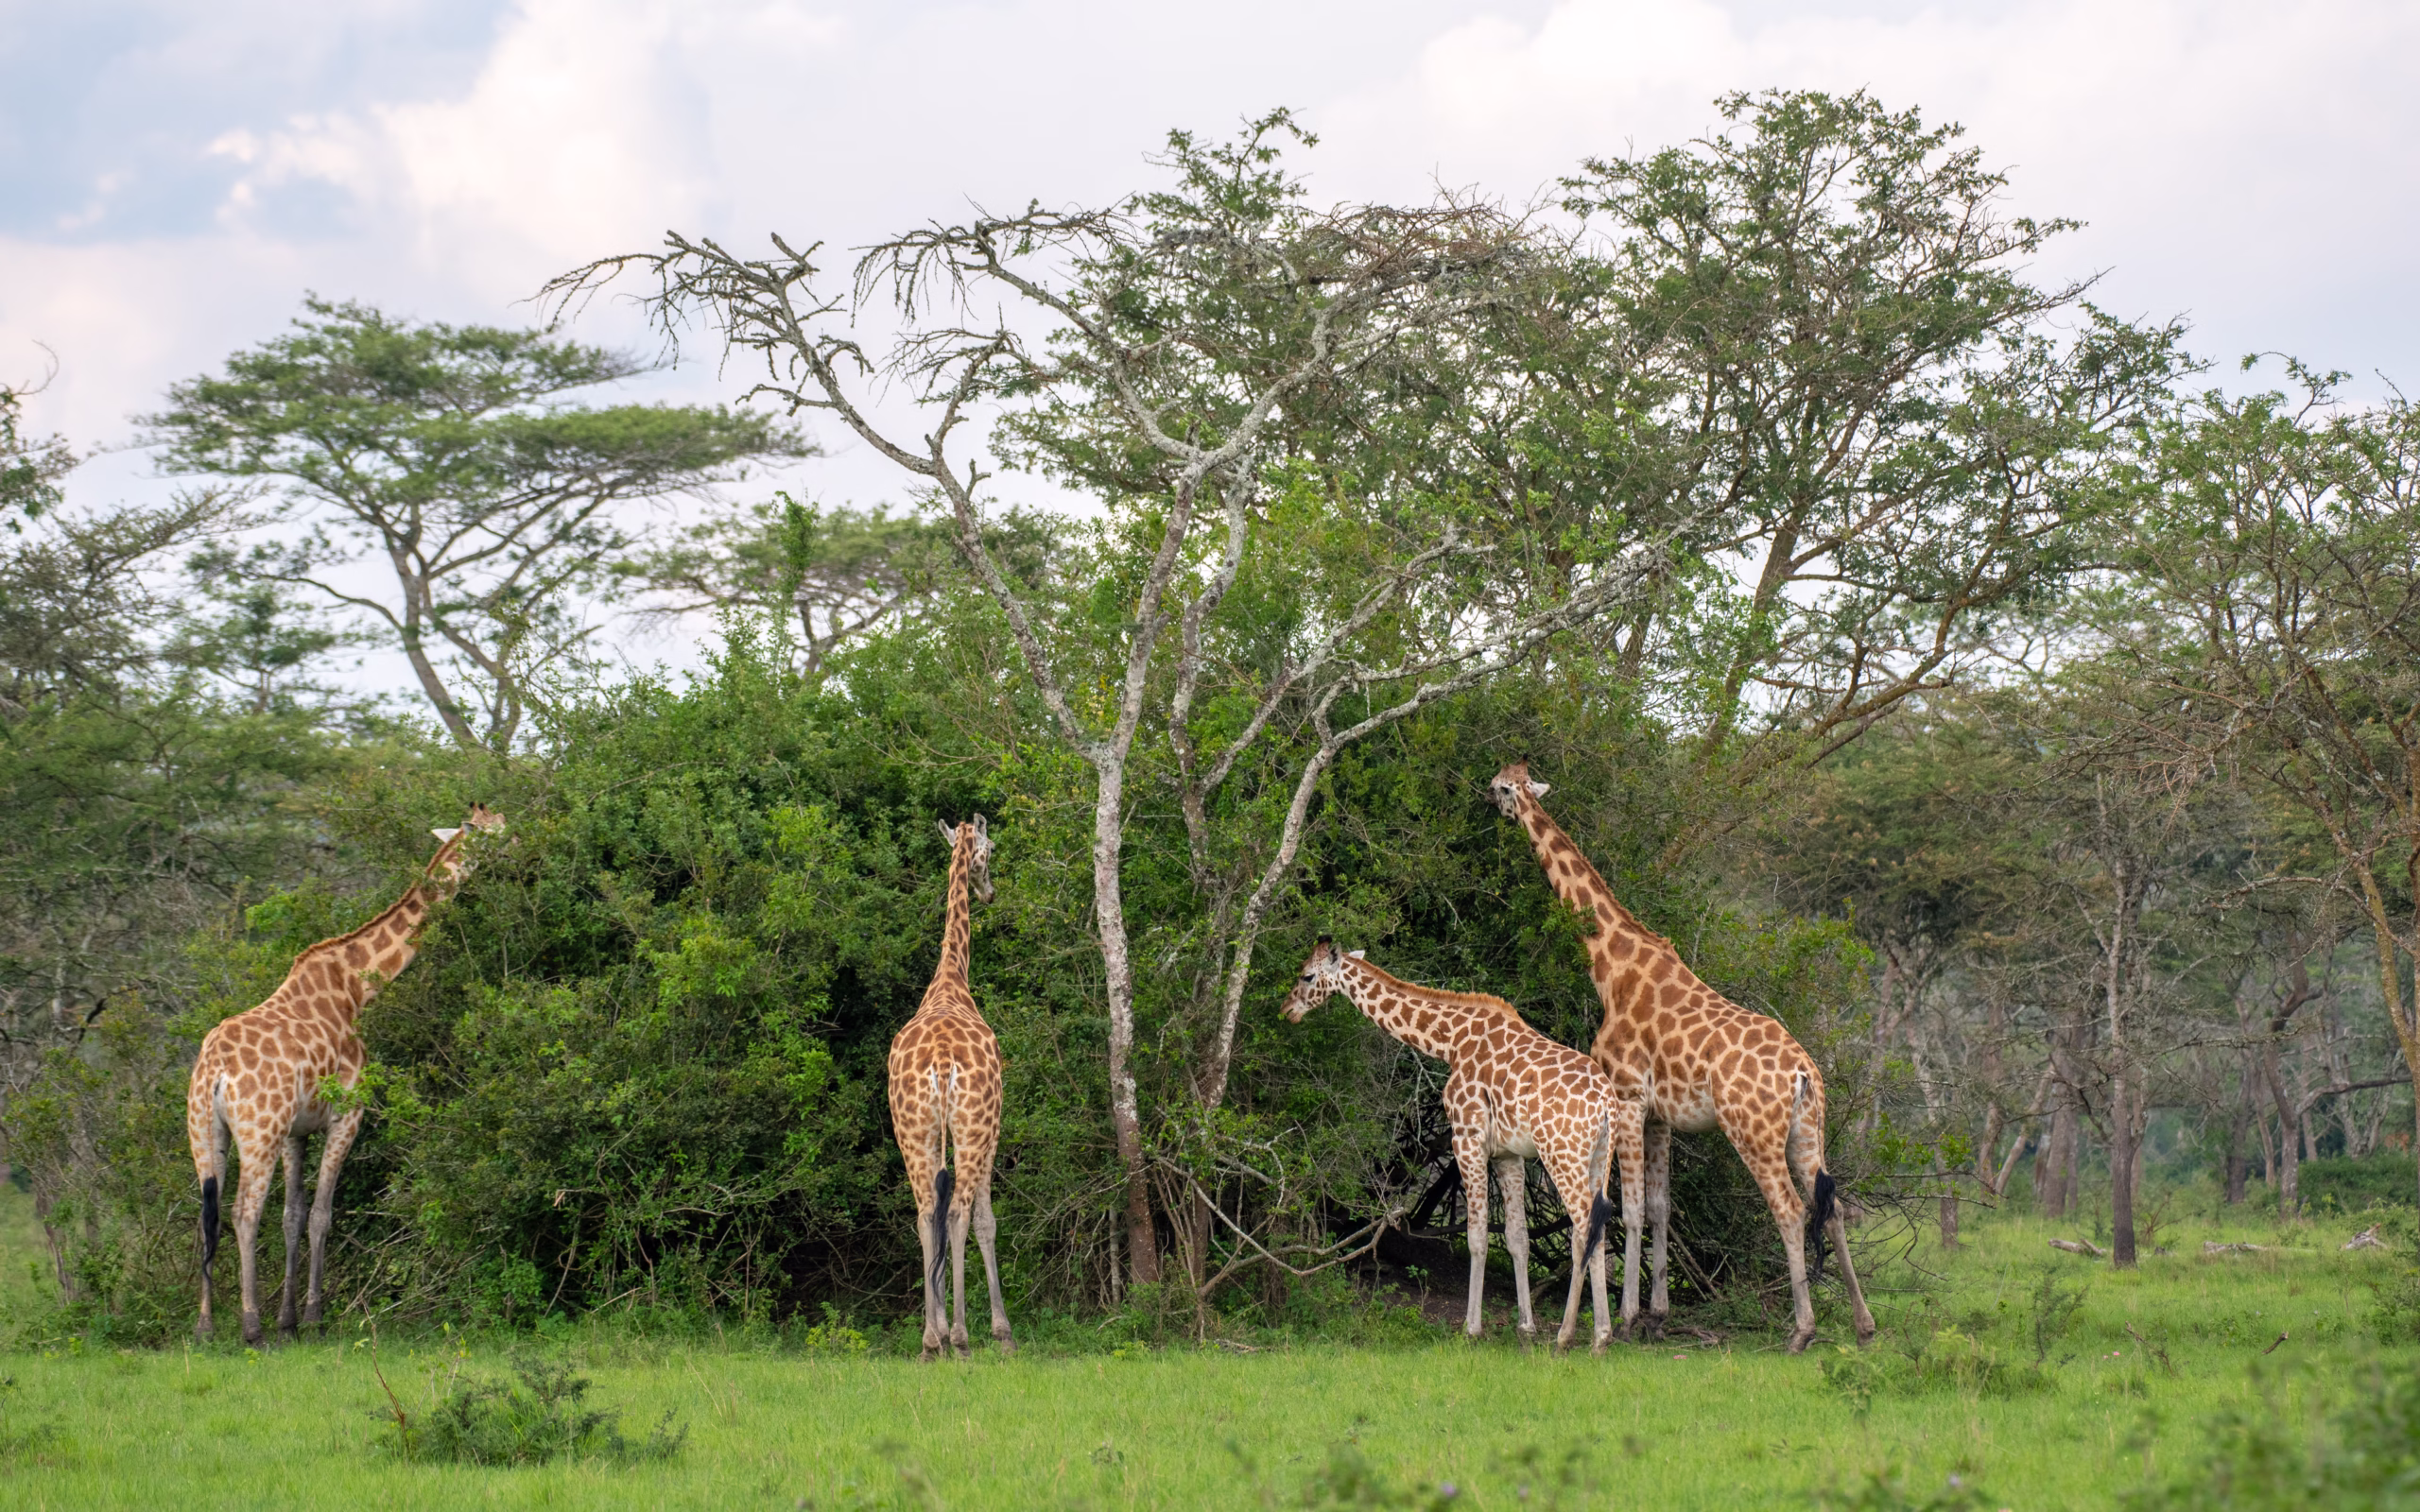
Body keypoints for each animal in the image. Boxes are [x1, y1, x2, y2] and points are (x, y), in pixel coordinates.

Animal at [187, 805, 503, 1345]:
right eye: (504, 833)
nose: (530, 850)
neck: (357, 990)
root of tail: (214, 1072)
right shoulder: (347, 1116)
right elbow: (320, 1215)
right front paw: (312, 1317)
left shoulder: (296, 1132)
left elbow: (292, 1217)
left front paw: (289, 1320)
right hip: (258, 1131)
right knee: (243, 1213)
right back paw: (250, 1327)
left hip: (206, 1134)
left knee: (207, 1213)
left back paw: (206, 1326)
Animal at [1282, 938, 1632, 1351]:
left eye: (1307, 975)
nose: (1287, 1010)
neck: (1450, 1041)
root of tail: (1607, 1104)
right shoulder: (1509, 1154)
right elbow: (1517, 1238)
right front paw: (1525, 1327)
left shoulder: (1466, 1137)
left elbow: (1477, 1236)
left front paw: (1471, 1327)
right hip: (1598, 1157)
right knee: (1599, 1228)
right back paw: (1600, 1336)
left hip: (1561, 1153)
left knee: (1581, 1229)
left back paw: (1567, 1335)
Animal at [1489, 761, 1876, 1353]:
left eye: (1501, 787)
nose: (1491, 805)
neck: (1610, 965)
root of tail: (1802, 1072)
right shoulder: (1659, 1117)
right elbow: (1659, 1207)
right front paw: (1657, 1316)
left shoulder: (1627, 1096)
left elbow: (1627, 1208)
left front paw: (1626, 1319)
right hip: (1807, 1131)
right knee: (1830, 1209)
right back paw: (1863, 1325)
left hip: (1752, 1132)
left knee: (1790, 1210)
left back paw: (1801, 1331)